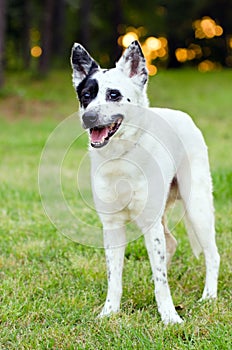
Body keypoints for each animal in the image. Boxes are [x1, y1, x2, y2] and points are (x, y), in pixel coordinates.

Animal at [70, 41, 219, 326]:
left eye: (114, 95)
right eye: (86, 95)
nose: (89, 117)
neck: (121, 157)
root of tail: (182, 116)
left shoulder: (150, 223)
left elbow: (161, 279)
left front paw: (170, 317)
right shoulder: (112, 226)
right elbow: (114, 277)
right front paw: (109, 312)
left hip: (198, 207)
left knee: (212, 254)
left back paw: (209, 297)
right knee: (170, 244)